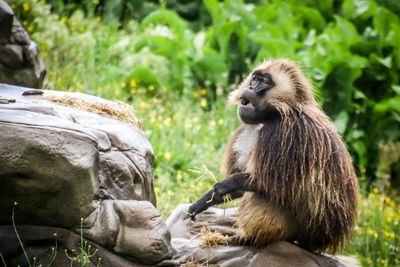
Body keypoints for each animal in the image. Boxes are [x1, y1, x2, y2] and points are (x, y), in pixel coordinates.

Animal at [188, 59, 360, 255]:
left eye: (263, 82)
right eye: (255, 79)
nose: (251, 87)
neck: (274, 114)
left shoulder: (286, 133)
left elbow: (273, 184)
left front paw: (224, 185)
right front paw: (205, 200)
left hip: (299, 230)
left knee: (266, 195)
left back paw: (248, 239)